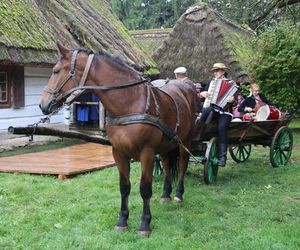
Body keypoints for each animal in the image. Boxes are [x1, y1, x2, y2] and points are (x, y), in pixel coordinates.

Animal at [39, 43, 197, 236]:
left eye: (55, 71)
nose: (42, 104)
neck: (130, 102)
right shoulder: (119, 153)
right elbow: (124, 187)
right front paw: (122, 220)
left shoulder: (147, 153)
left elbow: (145, 188)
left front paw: (145, 223)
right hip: (166, 145)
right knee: (167, 166)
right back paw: (166, 194)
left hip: (185, 141)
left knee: (182, 165)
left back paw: (178, 195)